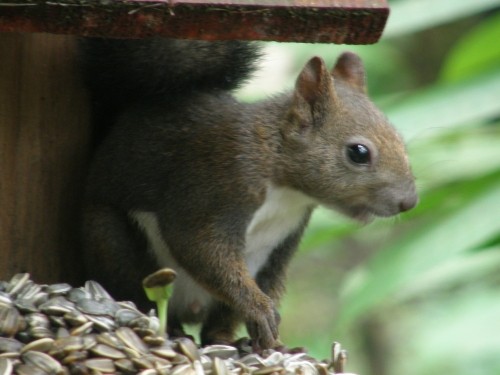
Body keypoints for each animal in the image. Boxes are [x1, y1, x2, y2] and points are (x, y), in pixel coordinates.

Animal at [79, 36, 418, 352]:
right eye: (358, 152)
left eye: (399, 138)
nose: (409, 202)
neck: (284, 185)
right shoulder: (219, 184)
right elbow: (199, 246)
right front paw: (260, 311)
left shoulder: (284, 243)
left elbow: (266, 281)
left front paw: (273, 334)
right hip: (114, 244)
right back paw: (172, 329)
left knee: (216, 326)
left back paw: (227, 340)